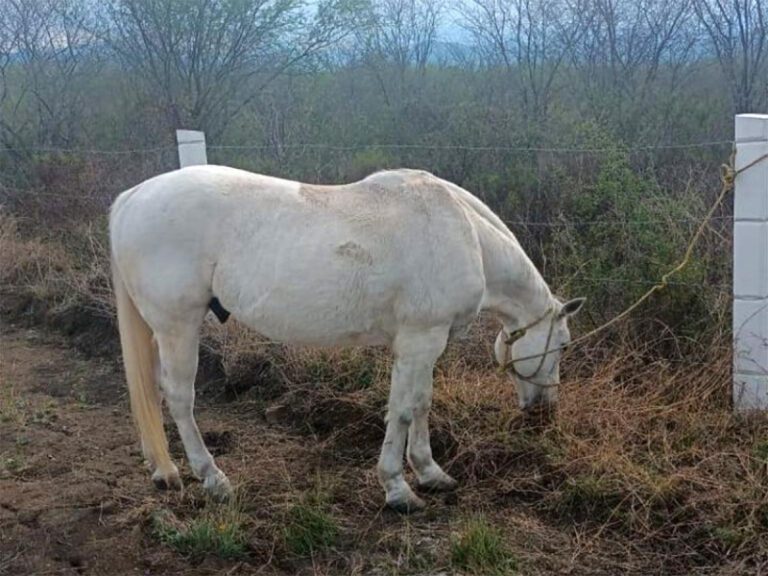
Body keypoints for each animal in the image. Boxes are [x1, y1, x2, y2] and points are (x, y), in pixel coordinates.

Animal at [109, 165, 584, 512]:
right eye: (561, 346)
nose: (544, 410)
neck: (463, 232)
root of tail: (132, 198)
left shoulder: (424, 347)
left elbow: (421, 404)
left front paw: (430, 472)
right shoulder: (420, 341)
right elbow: (404, 410)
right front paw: (398, 488)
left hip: (160, 331)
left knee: (151, 391)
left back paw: (163, 469)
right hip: (178, 326)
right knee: (179, 398)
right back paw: (212, 478)